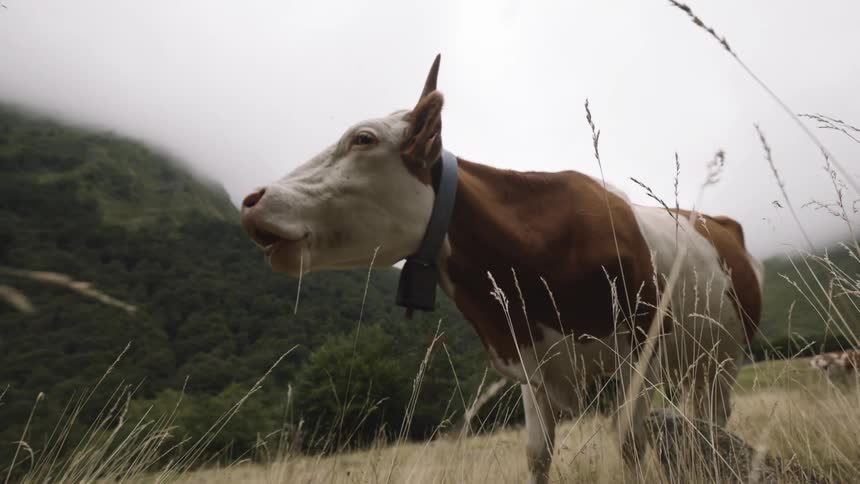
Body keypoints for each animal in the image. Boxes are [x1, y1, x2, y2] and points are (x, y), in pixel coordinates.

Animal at [239, 55, 765, 484]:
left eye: (363, 138)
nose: (251, 199)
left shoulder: (639, 352)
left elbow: (631, 444)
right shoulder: (530, 357)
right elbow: (537, 452)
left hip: (723, 358)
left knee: (712, 424)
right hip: (692, 364)